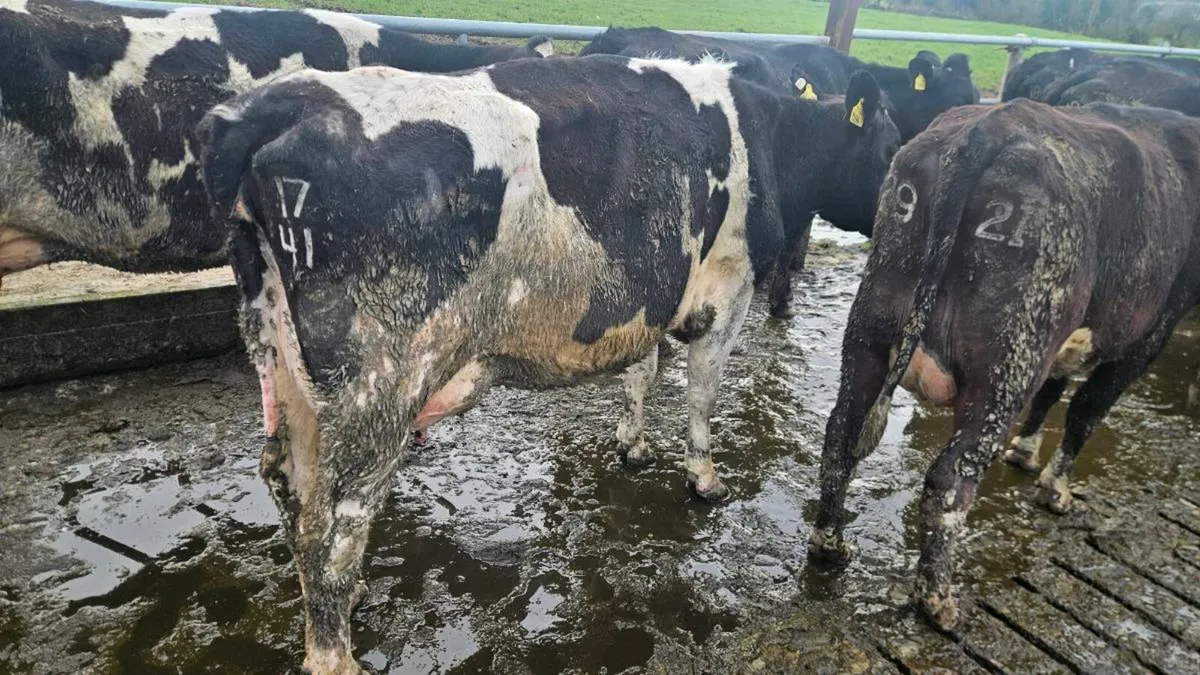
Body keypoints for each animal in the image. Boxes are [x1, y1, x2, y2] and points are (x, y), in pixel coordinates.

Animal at [196, 54, 898, 673]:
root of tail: (280, 104)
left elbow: (642, 372)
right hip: (378, 386)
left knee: (287, 483)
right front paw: (704, 478)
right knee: (334, 526)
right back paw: (335, 654)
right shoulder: (726, 293)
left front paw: (632, 444)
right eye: (891, 146)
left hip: (280, 357)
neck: (770, 135)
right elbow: (701, 392)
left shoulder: (643, 297)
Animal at [807, 99, 1200, 630]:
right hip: (1006, 365)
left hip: (869, 333)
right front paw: (1055, 490)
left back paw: (830, 545)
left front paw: (1025, 452)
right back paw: (937, 600)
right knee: (950, 478)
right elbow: (1085, 412)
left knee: (841, 438)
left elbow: (1053, 393)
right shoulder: (1148, 336)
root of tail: (986, 127)